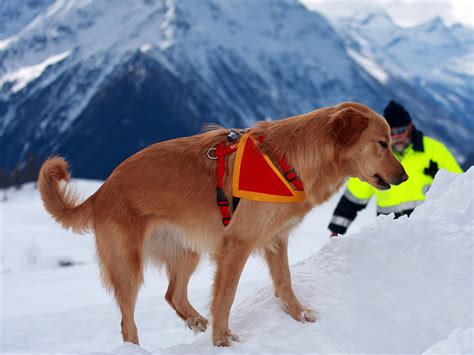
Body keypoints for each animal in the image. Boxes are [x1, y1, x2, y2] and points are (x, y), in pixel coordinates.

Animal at [38, 101, 408, 346]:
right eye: (382, 143)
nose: (404, 177)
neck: (287, 160)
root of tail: (101, 192)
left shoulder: (275, 240)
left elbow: (285, 282)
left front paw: (299, 315)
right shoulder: (237, 245)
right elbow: (225, 297)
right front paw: (222, 340)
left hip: (186, 252)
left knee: (173, 294)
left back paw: (196, 321)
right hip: (127, 266)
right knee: (128, 324)